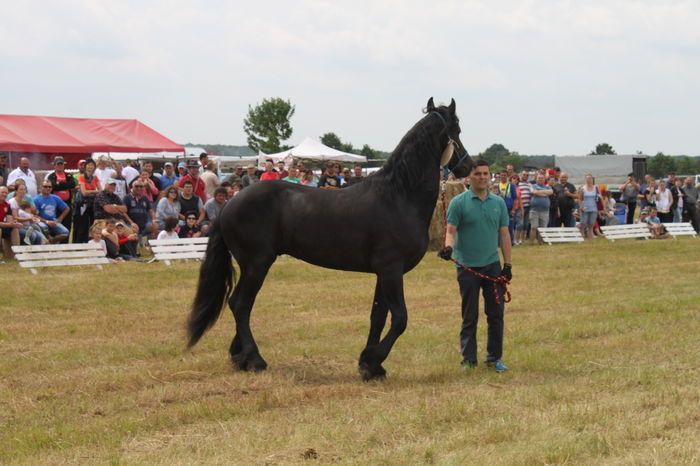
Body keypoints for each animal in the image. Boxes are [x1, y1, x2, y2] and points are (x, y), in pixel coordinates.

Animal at [187, 97, 473, 381]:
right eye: (457, 130)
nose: (468, 166)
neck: (398, 196)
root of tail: (230, 202)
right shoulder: (391, 270)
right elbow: (400, 318)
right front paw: (373, 360)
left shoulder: (383, 272)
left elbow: (378, 316)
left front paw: (370, 365)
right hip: (258, 263)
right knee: (240, 305)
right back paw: (255, 360)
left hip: (252, 266)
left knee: (241, 305)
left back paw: (240, 358)